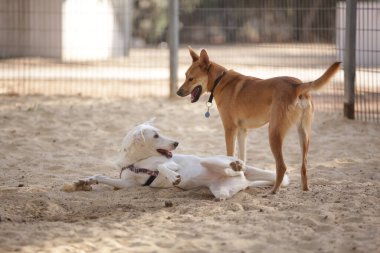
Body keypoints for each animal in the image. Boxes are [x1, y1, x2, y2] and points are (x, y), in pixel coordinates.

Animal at [72, 121, 290, 200]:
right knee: (227, 188)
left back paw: (235, 164)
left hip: (209, 159)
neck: (136, 161)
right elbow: (101, 176)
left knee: (233, 167)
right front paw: (86, 181)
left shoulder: (169, 162)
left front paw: (172, 176)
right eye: (156, 135)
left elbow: (162, 165)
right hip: (222, 190)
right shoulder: (127, 184)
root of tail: (245, 182)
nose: (176, 143)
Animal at [177, 47, 340, 194]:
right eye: (185, 76)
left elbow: (229, 154)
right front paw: (239, 173)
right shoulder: (242, 131)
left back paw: (274, 191)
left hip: (273, 133)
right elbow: (242, 158)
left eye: (191, 78)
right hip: (304, 134)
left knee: (282, 166)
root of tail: (297, 85)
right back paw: (305, 189)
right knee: (304, 165)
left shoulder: (230, 129)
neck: (220, 80)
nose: (178, 92)